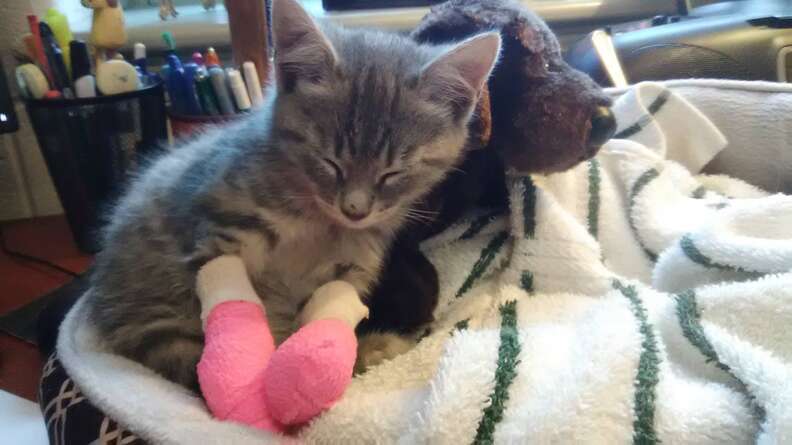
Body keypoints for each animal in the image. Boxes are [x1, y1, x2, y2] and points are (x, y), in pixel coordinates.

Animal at [85, 0, 496, 388]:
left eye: (393, 172)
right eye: (329, 162)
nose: (355, 210)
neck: (320, 225)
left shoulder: (352, 268)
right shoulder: (216, 237)